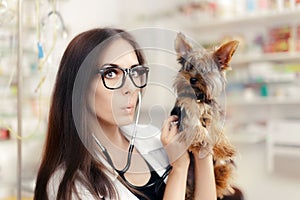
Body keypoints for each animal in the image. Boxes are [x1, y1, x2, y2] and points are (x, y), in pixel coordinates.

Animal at [171, 32, 239, 198]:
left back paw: (222, 172)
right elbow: (193, 123)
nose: (193, 79)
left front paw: (224, 147)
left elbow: (216, 127)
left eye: (205, 71)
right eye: (189, 67)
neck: (198, 97)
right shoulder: (184, 108)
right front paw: (200, 137)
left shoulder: (213, 112)